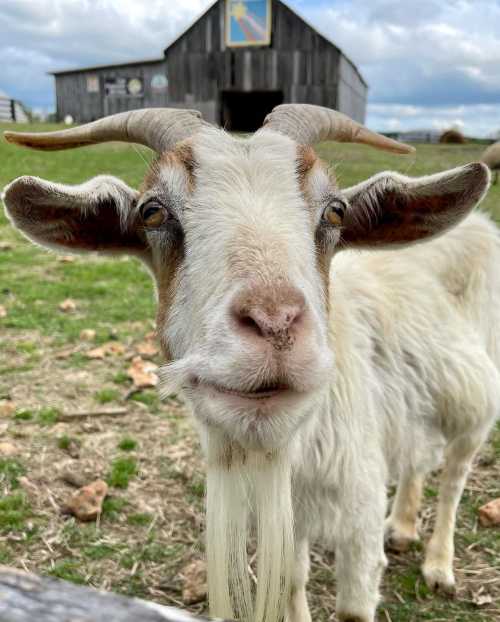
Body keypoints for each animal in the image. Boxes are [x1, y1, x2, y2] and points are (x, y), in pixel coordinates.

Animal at [1, 107, 498, 622]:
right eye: (152, 211)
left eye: (335, 211)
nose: (275, 323)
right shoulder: (290, 513)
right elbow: (293, 580)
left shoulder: (358, 507)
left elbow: (353, 607)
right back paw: (400, 526)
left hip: (476, 405)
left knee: (455, 476)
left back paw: (438, 566)